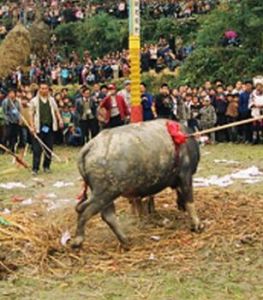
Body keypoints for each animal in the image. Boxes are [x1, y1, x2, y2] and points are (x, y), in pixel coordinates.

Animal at [71, 119, 202, 248]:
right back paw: (78, 240)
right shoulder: (185, 175)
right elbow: (189, 200)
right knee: (83, 210)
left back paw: (125, 241)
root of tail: (90, 146)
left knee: (107, 216)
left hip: (106, 196)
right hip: (105, 193)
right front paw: (197, 224)